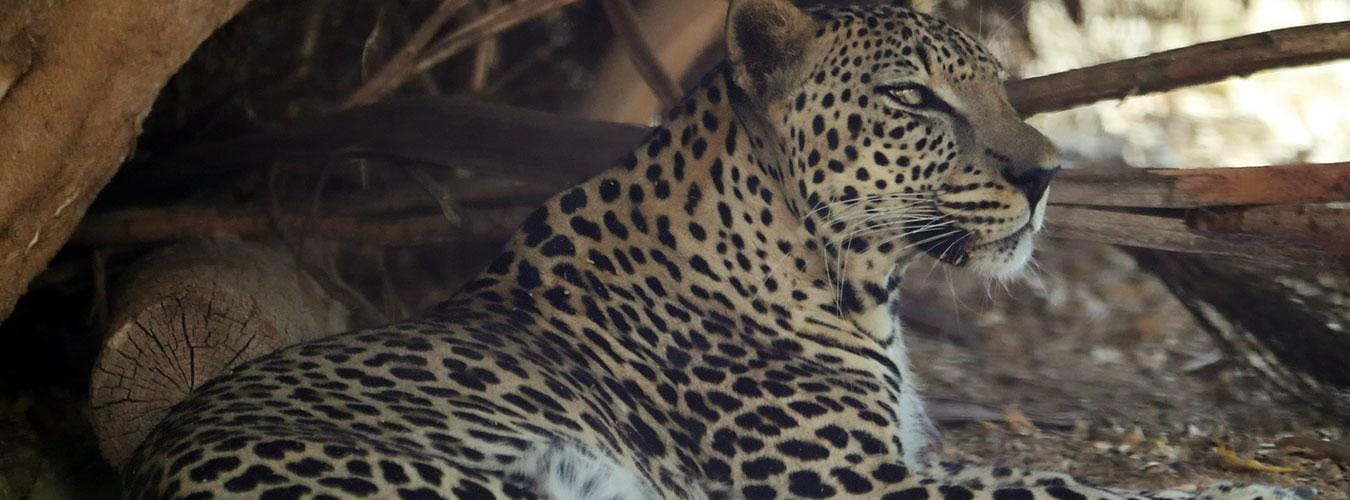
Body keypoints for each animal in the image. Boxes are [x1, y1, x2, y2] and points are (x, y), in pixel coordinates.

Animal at [123, 1, 1317, 498]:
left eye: (997, 82)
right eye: (914, 98)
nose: (1049, 174)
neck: (848, 283)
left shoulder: (910, 461)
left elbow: (1047, 472)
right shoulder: (852, 490)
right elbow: (1074, 493)